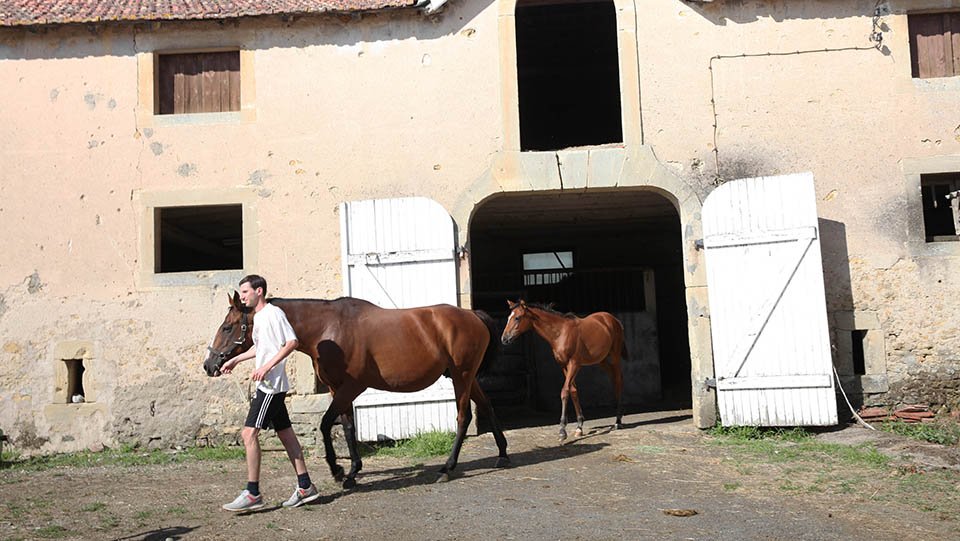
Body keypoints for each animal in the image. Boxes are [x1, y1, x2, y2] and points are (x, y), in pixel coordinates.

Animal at [203, 292, 510, 488]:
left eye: (228, 327)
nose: (210, 364)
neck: (328, 329)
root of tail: (473, 315)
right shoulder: (336, 389)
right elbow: (348, 427)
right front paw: (352, 471)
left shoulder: (350, 387)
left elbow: (326, 424)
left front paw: (338, 470)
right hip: (467, 378)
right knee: (487, 406)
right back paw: (502, 455)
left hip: (462, 376)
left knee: (463, 418)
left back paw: (447, 468)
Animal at [501, 299, 625, 442]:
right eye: (508, 317)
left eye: (517, 317)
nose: (504, 339)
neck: (560, 333)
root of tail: (613, 319)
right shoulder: (563, 365)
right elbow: (573, 391)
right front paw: (579, 426)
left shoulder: (574, 364)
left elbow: (565, 391)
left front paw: (562, 430)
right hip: (601, 360)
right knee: (613, 378)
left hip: (615, 356)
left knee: (618, 380)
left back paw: (618, 421)